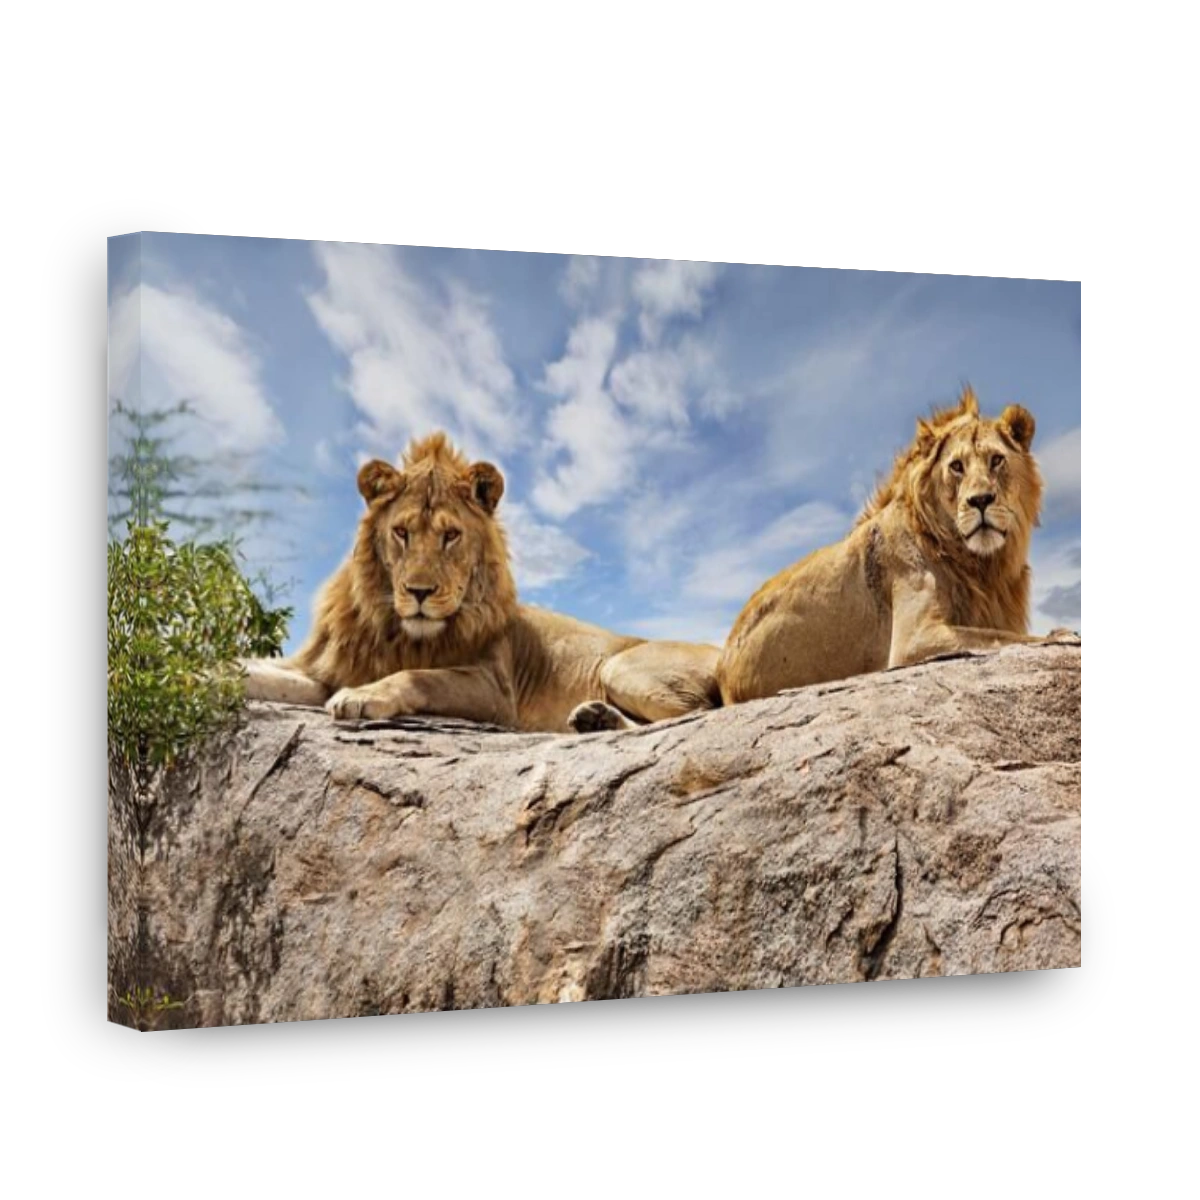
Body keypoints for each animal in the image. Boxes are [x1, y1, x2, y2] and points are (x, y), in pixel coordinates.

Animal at [241, 432, 721, 735]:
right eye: (402, 532)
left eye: (451, 535)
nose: (419, 593)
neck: (393, 628)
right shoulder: (322, 669)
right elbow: (258, 672)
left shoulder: (494, 688)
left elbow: (417, 677)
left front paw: (360, 696)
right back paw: (595, 719)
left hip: (620, 667)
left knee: (698, 714)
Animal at [715, 385, 1082, 705]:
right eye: (957, 466)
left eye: (996, 460)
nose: (980, 501)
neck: (981, 564)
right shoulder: (914, 638)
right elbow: (1001, 638)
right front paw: (1062, 635)